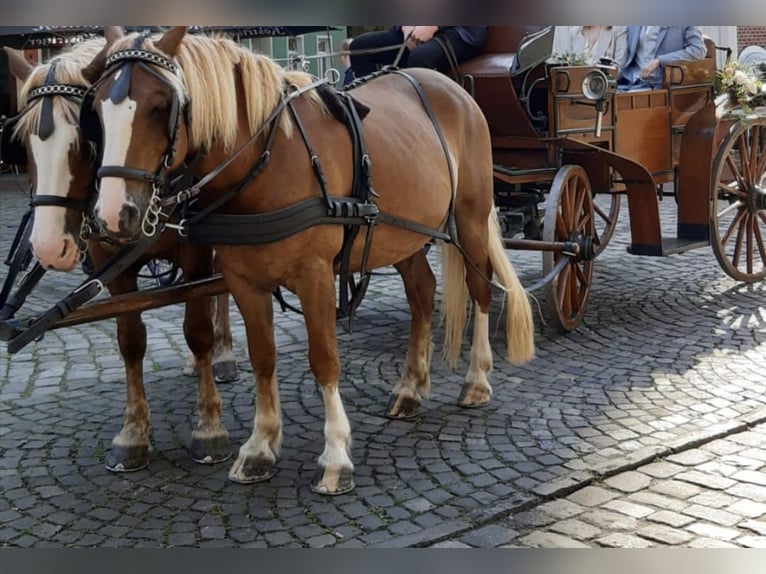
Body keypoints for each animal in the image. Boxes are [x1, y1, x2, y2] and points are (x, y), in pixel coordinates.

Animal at [3, 29, 237, 473]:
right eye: (22, 140)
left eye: (85, 135)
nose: (47, 246)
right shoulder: (112, 266)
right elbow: (130, 339)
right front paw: (132, 435)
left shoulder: (197, 255)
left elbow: (197, 328)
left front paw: (209, 428)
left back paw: (224, 356)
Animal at [81, 26, 535, 494]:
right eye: (95, 109)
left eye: (161, 105)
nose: (113, 214)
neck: (265, 161)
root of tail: (453, 90)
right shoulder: (244, 280)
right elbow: (263, 356)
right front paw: (260, 446)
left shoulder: (315, 275)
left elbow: (323, 359)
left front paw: (335, 456)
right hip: (401, 232)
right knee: (422, 293)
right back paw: (410, 388)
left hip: (470, 216)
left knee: (480, 288)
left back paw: (477, 380)